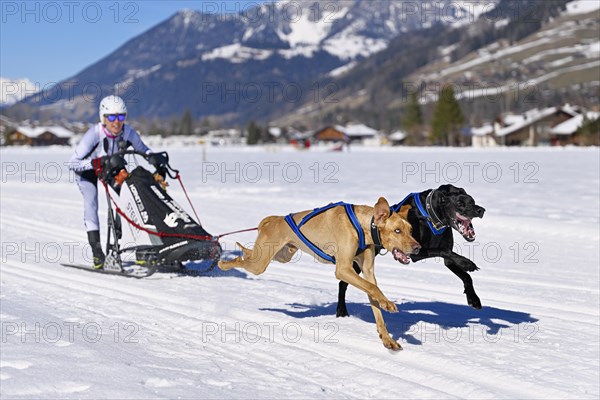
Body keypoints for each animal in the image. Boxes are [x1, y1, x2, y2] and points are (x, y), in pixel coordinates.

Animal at [219, 197, 422, 350]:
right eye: (397, 230)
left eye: (411, 230)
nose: (418, 248)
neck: (363, 225)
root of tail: (275, 219)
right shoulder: (343, 269)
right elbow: (372, 288)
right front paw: (388, 304)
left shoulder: (367, 271)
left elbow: (374, 295)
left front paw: (387, 338)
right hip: (261, 263)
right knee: (242, 260)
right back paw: (224, 263)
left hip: (282, 255)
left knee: (248, 255)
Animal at [340, 186, 486, 318]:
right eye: (460, 203)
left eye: (472, 201)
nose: (481, 210)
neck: (429, 215)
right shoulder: (417, 252)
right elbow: (442, 250)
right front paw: (466, 262)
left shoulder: (448, 261)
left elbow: (465, 275)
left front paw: (473, 298)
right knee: (343, 282)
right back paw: (341, 311)